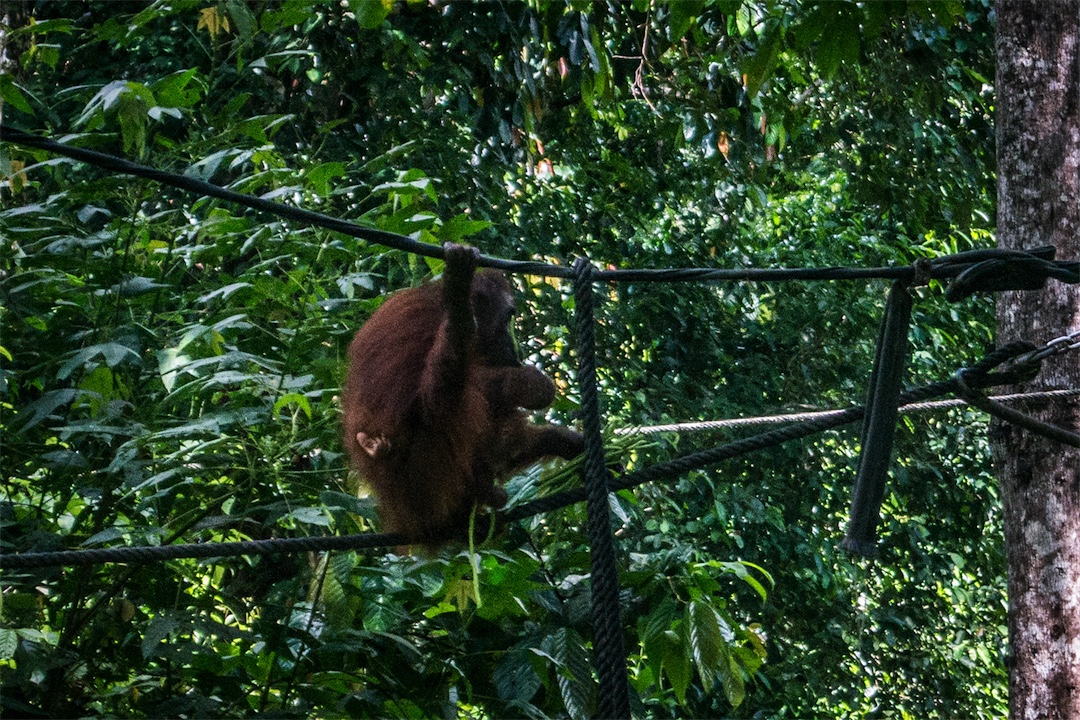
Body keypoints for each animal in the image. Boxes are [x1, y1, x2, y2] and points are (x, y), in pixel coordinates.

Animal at [341, 243, 584, 549]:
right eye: (508, 317)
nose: (512, 346)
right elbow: (429, 403)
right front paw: (459, 305)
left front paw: (564, 440)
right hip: (430, 485)